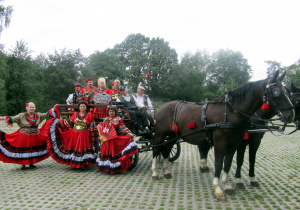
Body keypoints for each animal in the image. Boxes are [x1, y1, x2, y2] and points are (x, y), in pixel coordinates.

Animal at [151, 70, 294, 200]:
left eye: (287, 92)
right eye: (277, 92)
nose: (291, 115)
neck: (231, 112)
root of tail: (161, 107)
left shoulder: (235, 143)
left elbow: (228, 163)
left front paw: (228, 185)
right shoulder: (221, 142)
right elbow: (219, 163)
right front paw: (218, 188)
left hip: (171, 135)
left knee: (166, 149)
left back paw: (166, 171)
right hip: (160, 134)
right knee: (156, 149)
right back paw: (155, 173)